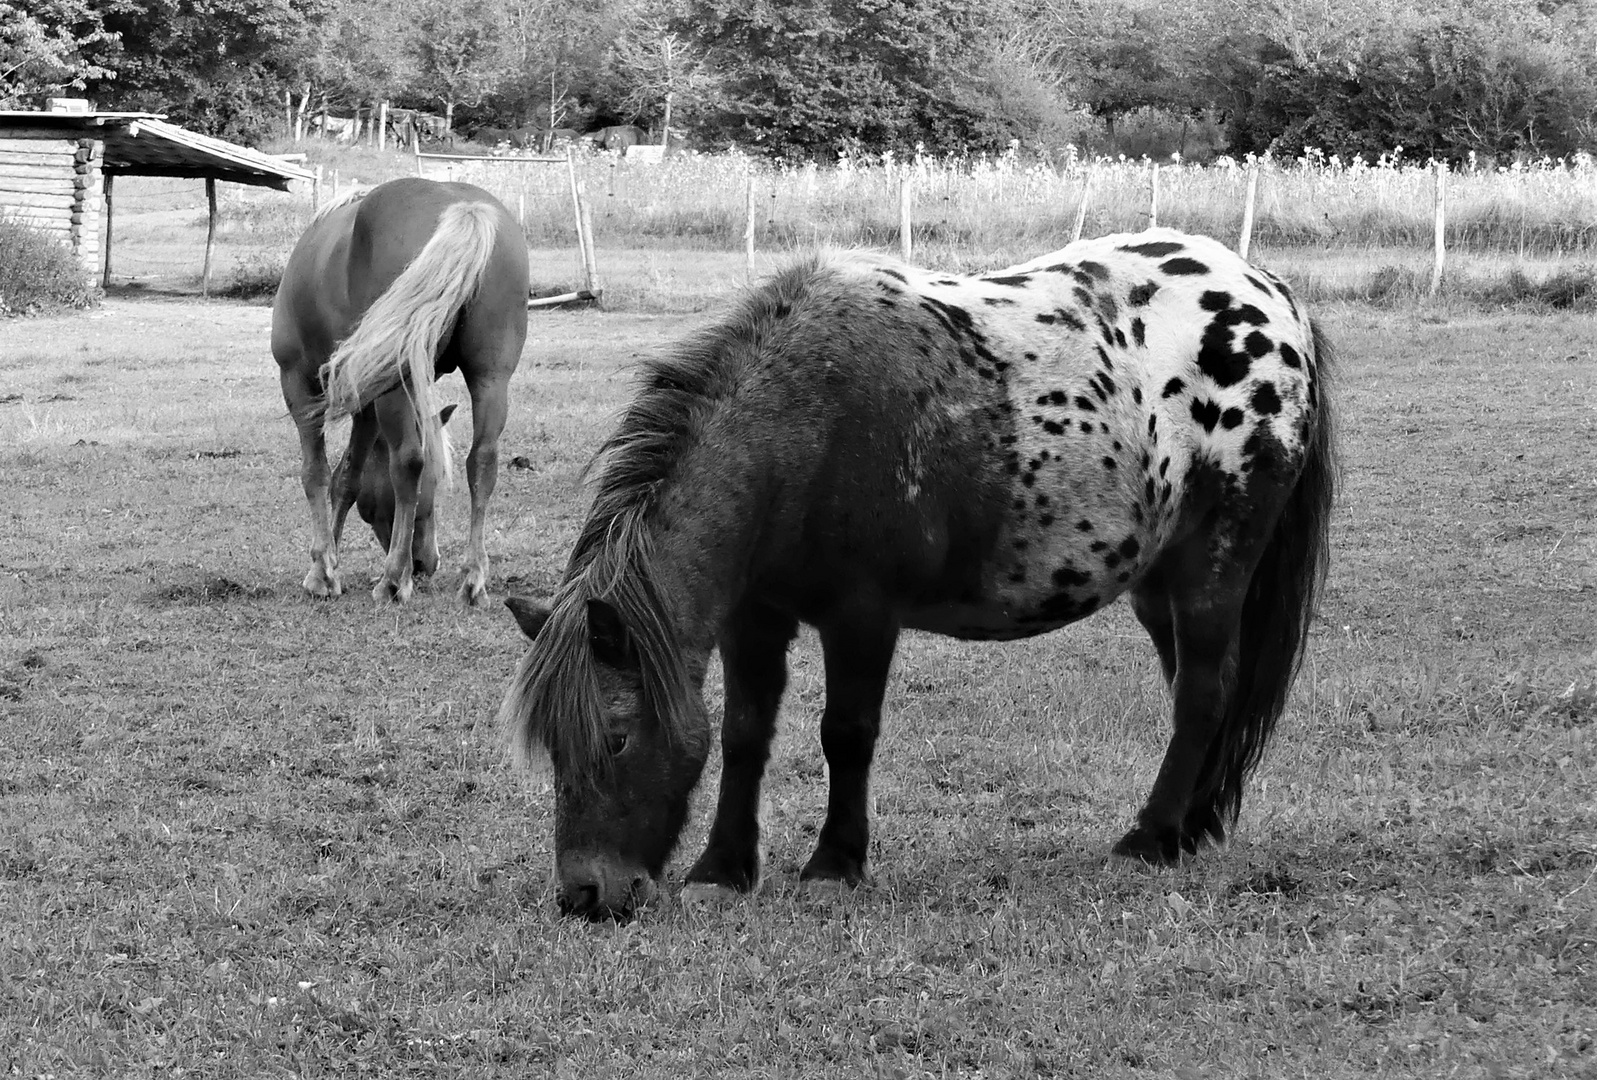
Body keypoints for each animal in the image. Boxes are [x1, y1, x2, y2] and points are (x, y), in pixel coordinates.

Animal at [271, 173, 527, 603]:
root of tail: (464, 208)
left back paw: (393, 579)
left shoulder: (299, 386)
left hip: (398, 382)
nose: (425, 563)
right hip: (491, 377)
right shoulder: (366, 395)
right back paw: (472, 579)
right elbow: (347, 478)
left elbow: (316, 473)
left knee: (407, 459)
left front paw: (323, 570)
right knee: (483, 462)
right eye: (435, 490)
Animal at [498, 228, 1335, 920]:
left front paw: (834, 864)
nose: (584, 894)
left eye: (615, 739)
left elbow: (846, 733)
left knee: (1202, 694)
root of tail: (1271, 296)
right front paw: (722, 868)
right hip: (1159, 584)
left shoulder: (861, 616)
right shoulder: (753, 620)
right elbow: (743, 734)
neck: (802, 425)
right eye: (552, 746)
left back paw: (1150, 837)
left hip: (1213, 565)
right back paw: (1189, 828)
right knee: (1203, 690)